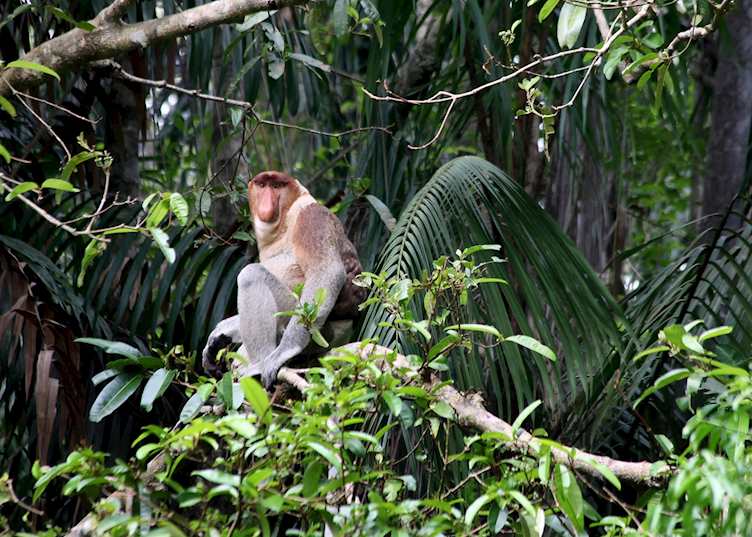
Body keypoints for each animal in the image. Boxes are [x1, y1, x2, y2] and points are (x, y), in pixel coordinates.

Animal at [202, 171, 365, 388]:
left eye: (277, 186)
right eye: (262, 185)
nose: (267, 201)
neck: (285, 219)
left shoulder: (310, 217)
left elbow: (326, 271)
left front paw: (284, 352)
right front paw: (218, 335)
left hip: (313, 328)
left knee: (251, 275)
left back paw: (258, 367)